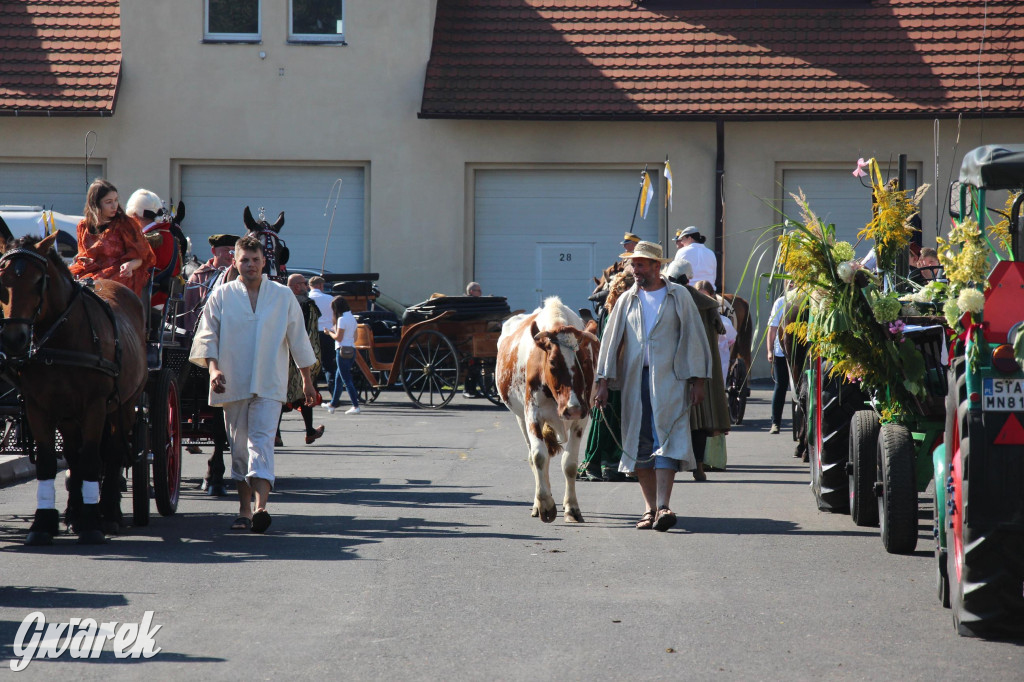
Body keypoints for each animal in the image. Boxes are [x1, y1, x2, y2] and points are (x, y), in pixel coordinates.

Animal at [0, 227, 148, 540]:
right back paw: (74, 512)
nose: (14, 339)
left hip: (125, 405)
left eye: (39, 280)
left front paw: (92, 524)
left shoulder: (95, 406)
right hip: (69, 415)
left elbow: (92, 458)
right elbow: (49, 461)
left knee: (113, 452)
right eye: (2, 280)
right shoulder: (38, 407)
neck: (60, 340)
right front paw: (44, 524)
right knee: (72, 454)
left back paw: (110, 513)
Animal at [495, 294, 598, 522]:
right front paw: (545, 504)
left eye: (586, 361)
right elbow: (538, 456)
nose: (572, 408)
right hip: (520, 418)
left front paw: (572, 508)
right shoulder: (532, 414)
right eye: (552, 363)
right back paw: (537, 504)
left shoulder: (581, 418)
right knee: (535, 458)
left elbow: (569, 464)